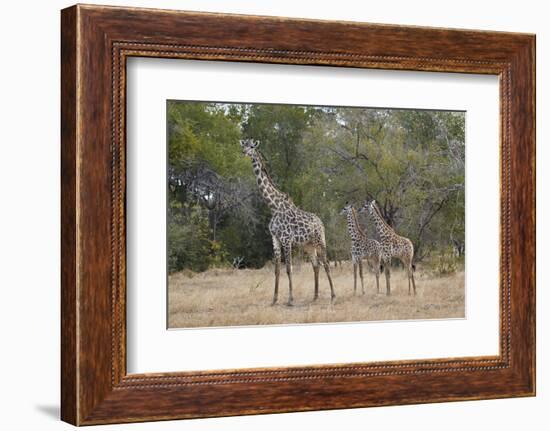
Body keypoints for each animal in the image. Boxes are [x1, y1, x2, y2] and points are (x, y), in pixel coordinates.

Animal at [240, 140, 336, 306]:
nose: (244, 152)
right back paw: (315, 296)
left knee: (326, 263)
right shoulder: (275, 239)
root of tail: (321, 223)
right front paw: (274, 299)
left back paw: (332, 295)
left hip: (320, 240)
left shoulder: (286, 239)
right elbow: (277, 269)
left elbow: (289, 269)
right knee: (316, 265)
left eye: (252, 146)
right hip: (308, 245)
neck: (273, 206)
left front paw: (290, 300)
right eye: (243, 145)